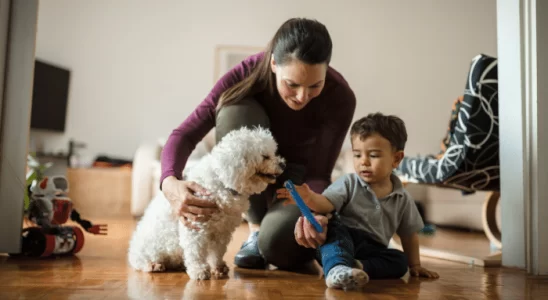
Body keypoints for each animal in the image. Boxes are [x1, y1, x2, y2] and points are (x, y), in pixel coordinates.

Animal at [127, 126, 284, 278]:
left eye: (273, 153)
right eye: (265, 156)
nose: (282, 163)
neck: (223, 183)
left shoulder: (222, 230)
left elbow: (218, 251)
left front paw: (218, 268)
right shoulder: (194, 226)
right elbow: (195, 252)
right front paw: (199, 271)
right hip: (148, 249)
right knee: (140, 261)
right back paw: (153, 264)